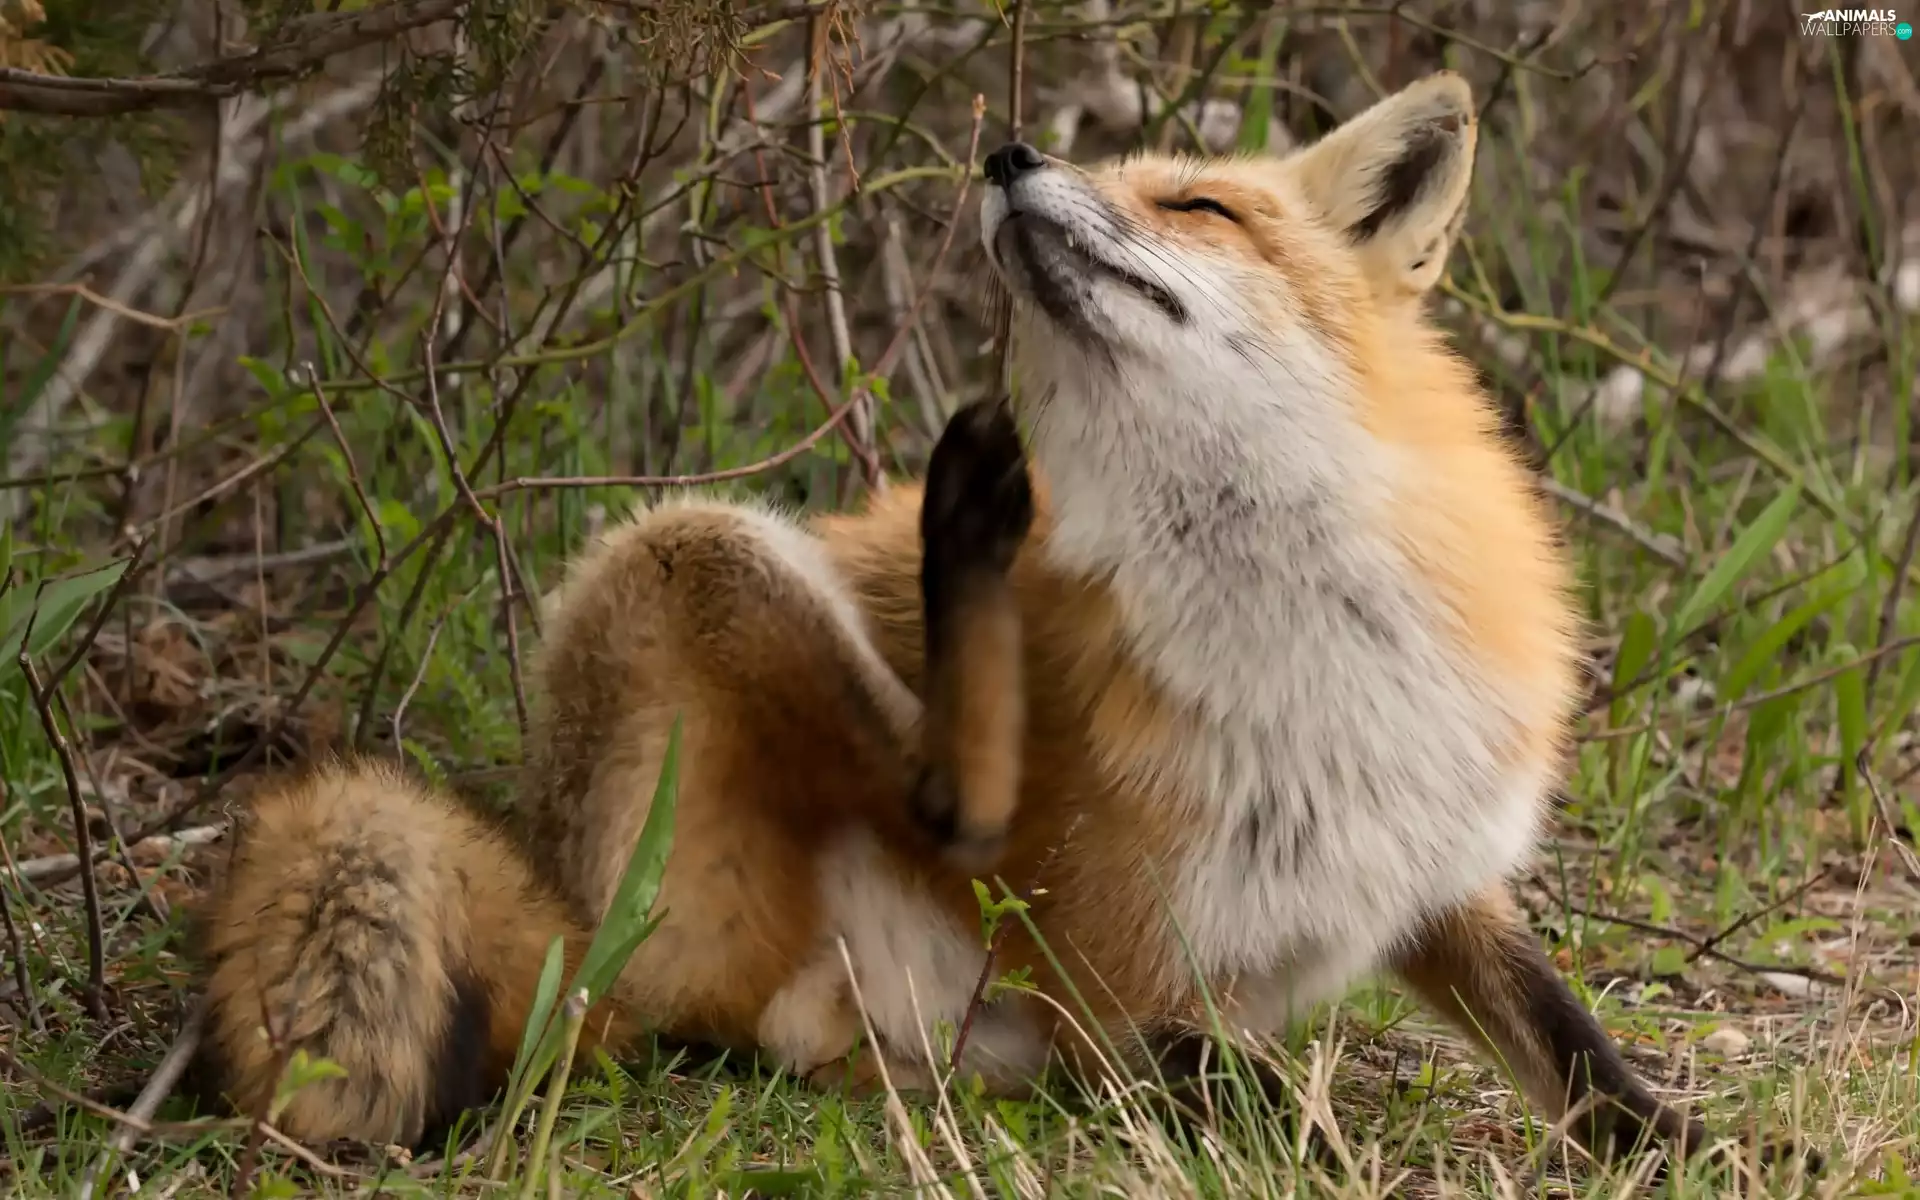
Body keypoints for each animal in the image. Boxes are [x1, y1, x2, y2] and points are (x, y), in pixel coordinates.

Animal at [188, 71, 1813, 1175]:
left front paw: (1716, 1150)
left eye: (1201, 205)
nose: (1011, 150)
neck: (1303, 644)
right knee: (934, 824)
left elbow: (1578, 1051)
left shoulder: (1428, 877)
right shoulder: (1118, 974)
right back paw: (961, 529)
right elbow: (1230, 1086)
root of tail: (571, 911)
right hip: (695, 555)